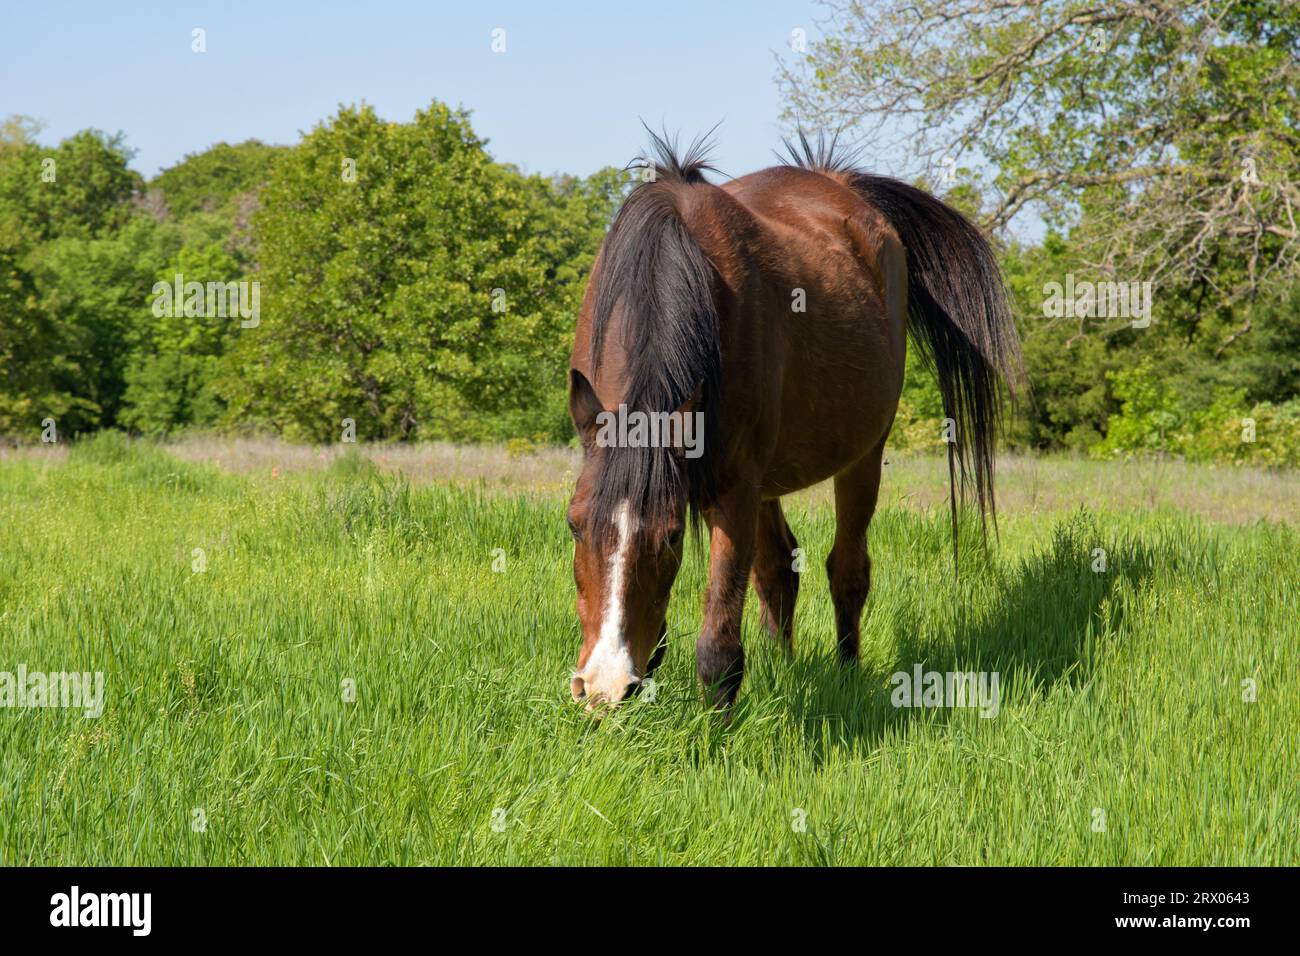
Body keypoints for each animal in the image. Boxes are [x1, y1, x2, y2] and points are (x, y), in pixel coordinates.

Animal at [564, 136, 1019, 717]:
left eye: (671, 536)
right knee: (779, 570)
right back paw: (783, 667)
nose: (601, 686)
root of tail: (841, 183)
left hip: (861, 458)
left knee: (847, 570)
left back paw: (847, 675)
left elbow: (718, 651)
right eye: (574, 525)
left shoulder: (732, 491)